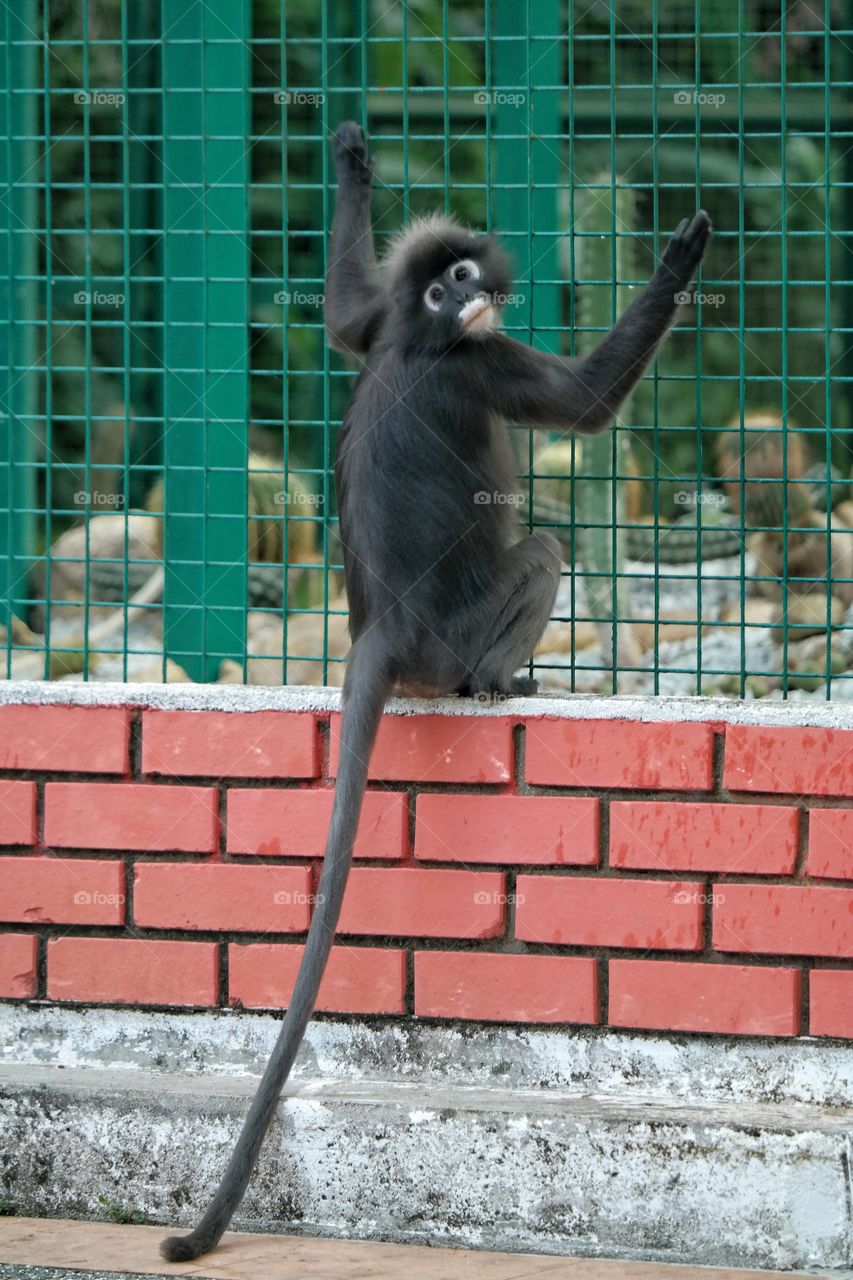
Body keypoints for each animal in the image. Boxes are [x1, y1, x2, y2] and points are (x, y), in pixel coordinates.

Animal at [161, 122, 711, 1262]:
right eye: (453, 281)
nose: (470, 292)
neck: (424, 338)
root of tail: (381, 629)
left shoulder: (380, 329)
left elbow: (341, 320)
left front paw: (353, 160)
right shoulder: (477, 360)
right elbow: (584, 405)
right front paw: (680, 258)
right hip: (462, 626)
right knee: (540, 551)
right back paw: (497, 681)